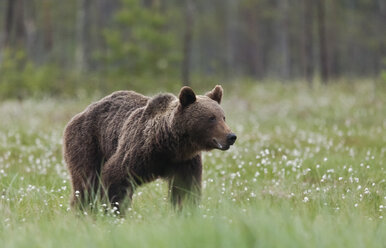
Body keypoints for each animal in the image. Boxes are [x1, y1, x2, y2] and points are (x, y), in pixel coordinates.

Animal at [63, 85, 237, 211]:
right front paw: (114, 211)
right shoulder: (137, 152)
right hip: (87, 143)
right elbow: (115, 177)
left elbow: (185, 189)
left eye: (223, 117)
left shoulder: (185, 162)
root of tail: (80, 113)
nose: (231, 136)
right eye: (211, 118)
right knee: (86, 183)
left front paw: (186, 210)